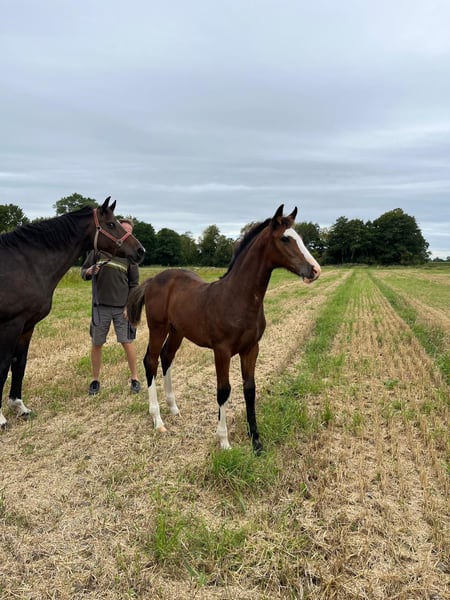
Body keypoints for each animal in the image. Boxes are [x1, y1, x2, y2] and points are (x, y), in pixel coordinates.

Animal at [0, 197, 145, 428]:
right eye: (111, 224)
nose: (140, 251)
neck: (25, 264)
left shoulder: (27, 325)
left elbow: (19, 363)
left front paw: (19, 407)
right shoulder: (10, 325)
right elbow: (4, 366)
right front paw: (1, 419)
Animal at [127, 205, 320, 453]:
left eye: (302, 238)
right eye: (285, 238)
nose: (315, 270)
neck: (237, 298)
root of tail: (152, 281)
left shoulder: (251, 349)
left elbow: (249, 389)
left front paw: (256, 441)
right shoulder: (222, 351)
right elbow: (223, 391)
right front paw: (224, 441)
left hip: (177, 331)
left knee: (166, 357)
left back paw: (173, 408)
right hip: (158, 328)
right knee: (150, 361)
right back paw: (158, 420)